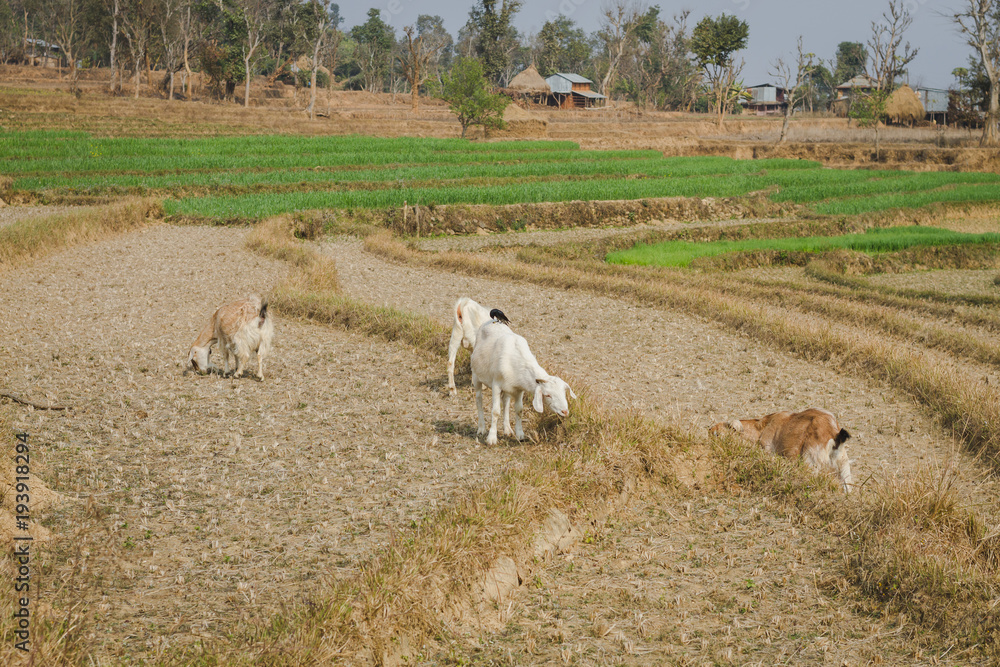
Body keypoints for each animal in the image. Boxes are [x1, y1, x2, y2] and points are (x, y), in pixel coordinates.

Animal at [710, 408, 853, 492]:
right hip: (844, 475)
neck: (762, 427)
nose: (709, 430)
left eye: (717, 433)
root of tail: (835, 436)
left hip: (811, 466)